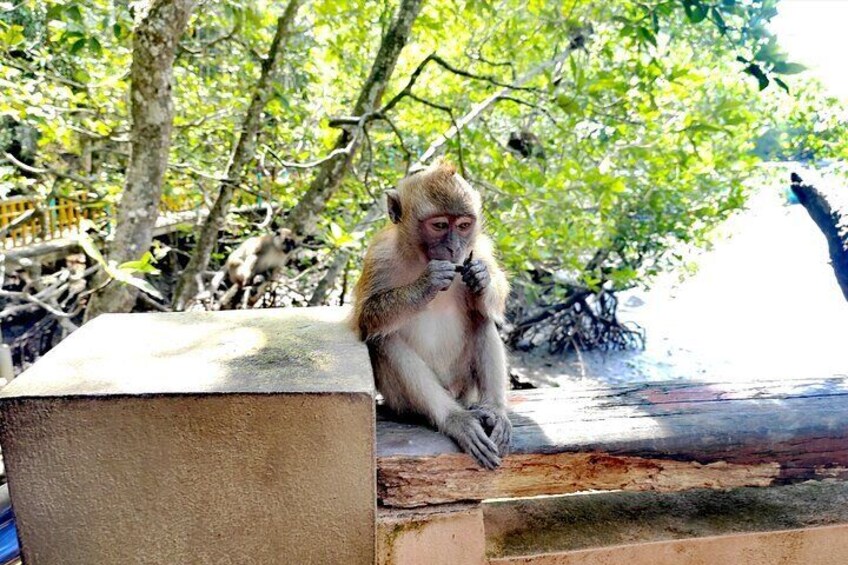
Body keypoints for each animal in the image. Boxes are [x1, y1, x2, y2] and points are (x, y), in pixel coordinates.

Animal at [350, 159, 510, 468]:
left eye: (463, 225)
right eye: (439, 225)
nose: (453, 247)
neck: (419, 257)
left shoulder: (478, 249)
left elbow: (493, 302)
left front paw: (482, 277)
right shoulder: (379, 257)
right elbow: (366, 319)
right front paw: (427, 283)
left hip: (463, 385)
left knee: (482, 318)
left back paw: (494, 410)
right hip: (401, 400)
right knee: (385, 340)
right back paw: (454, 418)